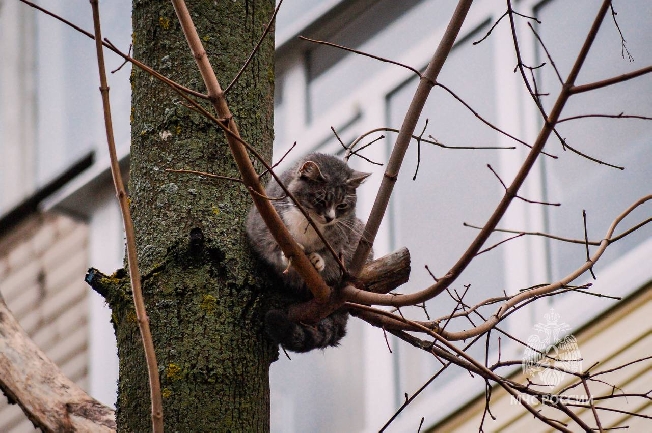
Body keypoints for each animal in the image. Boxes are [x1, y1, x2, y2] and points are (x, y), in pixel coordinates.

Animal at [247, 152, 372, 352]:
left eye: (342, 206)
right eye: (321, 200)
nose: (330, 218)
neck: (309, 221)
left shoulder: (346, 232)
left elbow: (331, 252)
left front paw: (318, 259)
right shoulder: (263, 220)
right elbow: (269, 243)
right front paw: (286, 253)